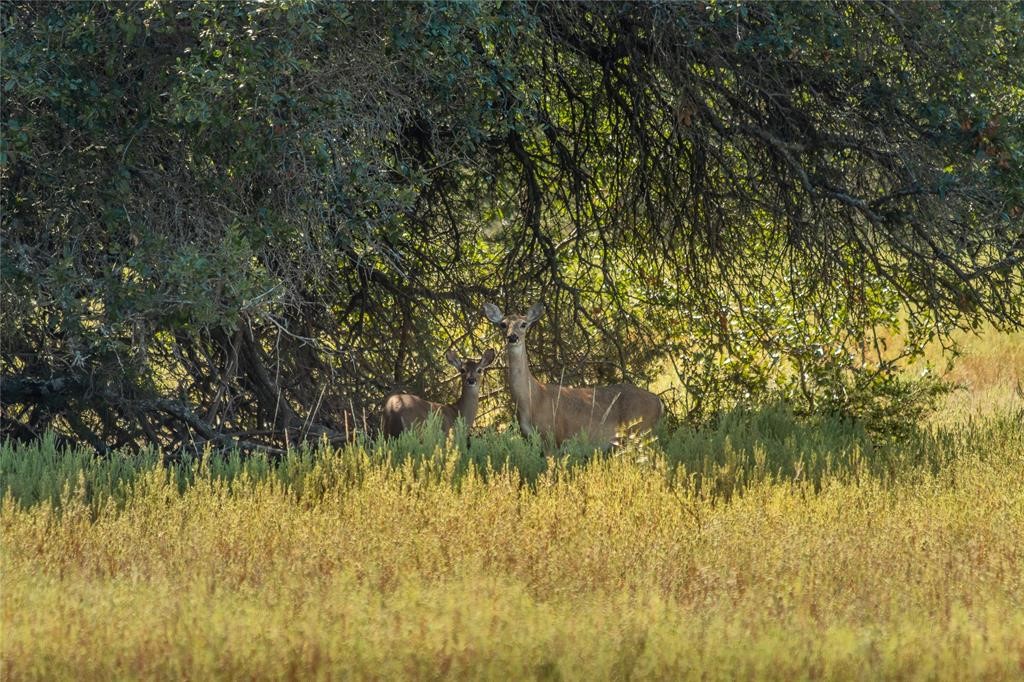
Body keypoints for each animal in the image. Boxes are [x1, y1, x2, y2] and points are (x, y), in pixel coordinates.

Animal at [481, 301, 663, 448]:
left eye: (524, 324)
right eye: (503, 324)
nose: (512, 337)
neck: (532, 398)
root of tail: (658, 402)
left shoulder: (553, 437)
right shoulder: (531, 439)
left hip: (639, 430)